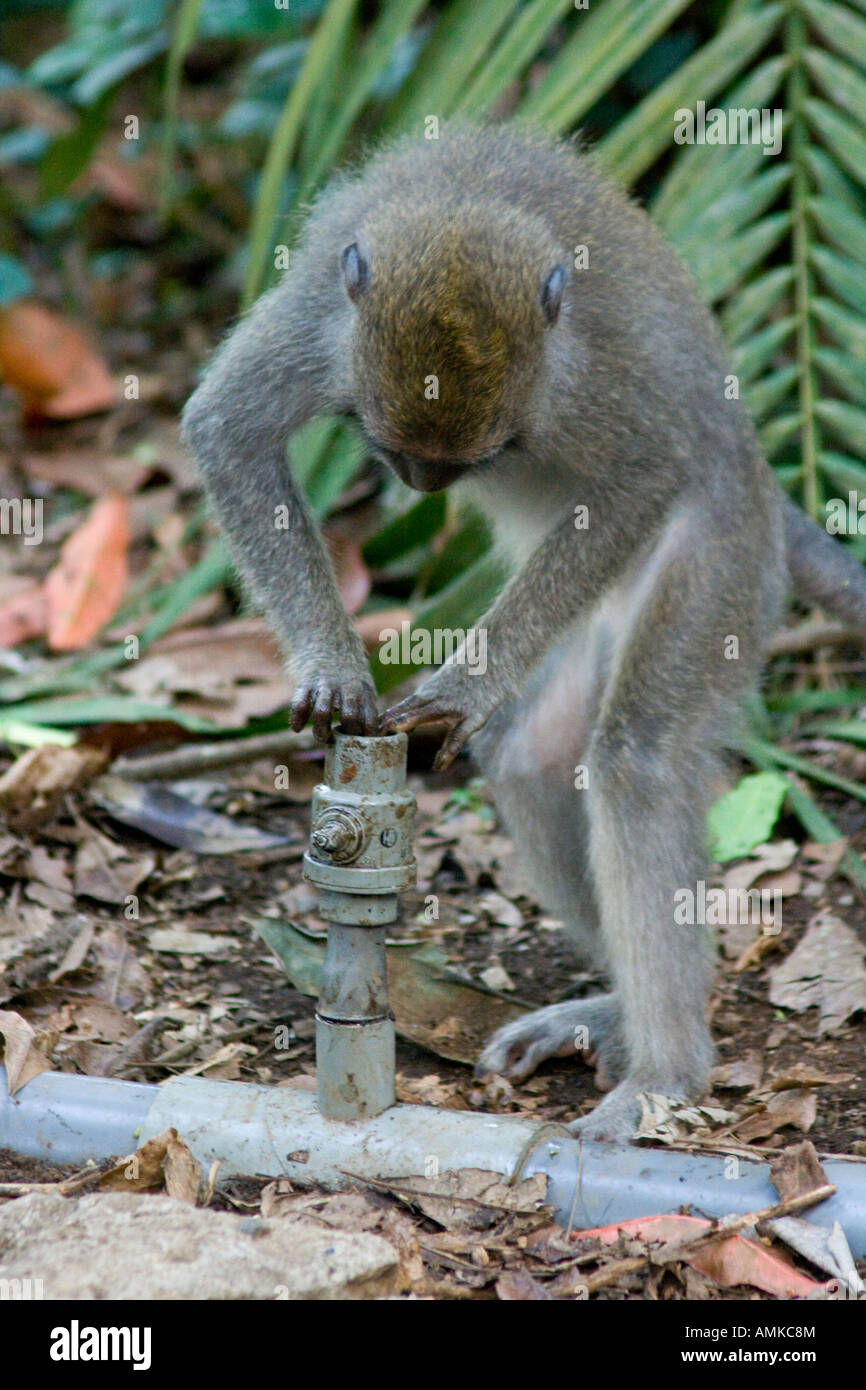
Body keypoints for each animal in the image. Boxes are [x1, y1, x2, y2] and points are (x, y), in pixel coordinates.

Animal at [180, 122, 866, 1139]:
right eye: (391, 453)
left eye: (491, 454)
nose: (422, 486)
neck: (466, 207)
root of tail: (761, 483)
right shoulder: (318, 321)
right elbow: (228, 429)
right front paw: (334, 669)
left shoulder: (574, 377)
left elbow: (642, 470)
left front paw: (463, 684)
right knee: (536, 756)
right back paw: (615, 1013)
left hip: (724, 556)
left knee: (635, 758)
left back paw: (666, 1073)